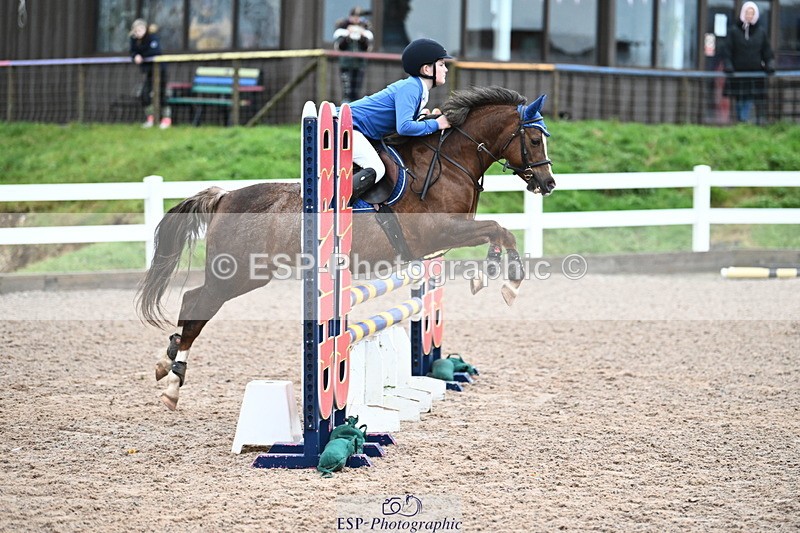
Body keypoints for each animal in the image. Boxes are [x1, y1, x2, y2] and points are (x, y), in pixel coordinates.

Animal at [136, 85, 556, 410]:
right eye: (535, 139)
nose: (548, 183)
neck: (451, 162)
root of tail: (224, 196)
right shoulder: (439, 233)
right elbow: (500, 230)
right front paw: (508, 282)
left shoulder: (446, 239)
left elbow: (499, 234)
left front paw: (494, 274)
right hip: (237, 272)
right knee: (196, 304)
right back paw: (173, 383)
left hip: (249, 274)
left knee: (193, 303)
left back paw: (166, 361)